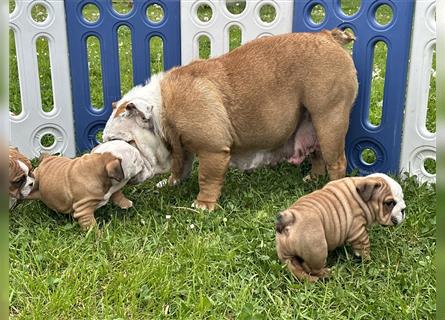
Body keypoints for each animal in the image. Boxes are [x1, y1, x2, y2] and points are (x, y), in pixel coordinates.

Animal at [103, 28, 358, 211]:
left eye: (126, 142)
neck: (162, 109)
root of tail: (329, 37)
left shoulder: (212, 150)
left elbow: (207, 177)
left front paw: (203, 205)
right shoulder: (181, 145)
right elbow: (181, 166)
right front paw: (171, 182)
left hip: (329, 118)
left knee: (336, 161)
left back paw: (330, 188)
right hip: (314, 122)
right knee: (318, 154)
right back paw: (312, 179)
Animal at [276, 174, 408, 282]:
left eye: (402, 198)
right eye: (389, 203)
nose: (403, 210)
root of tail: (290, 220)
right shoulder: (359, 232)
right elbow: (364, 247)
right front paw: (367, 260)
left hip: (286, 257)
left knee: (296, 269)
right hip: (317, 249)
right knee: (311, 268)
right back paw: (327, 273)